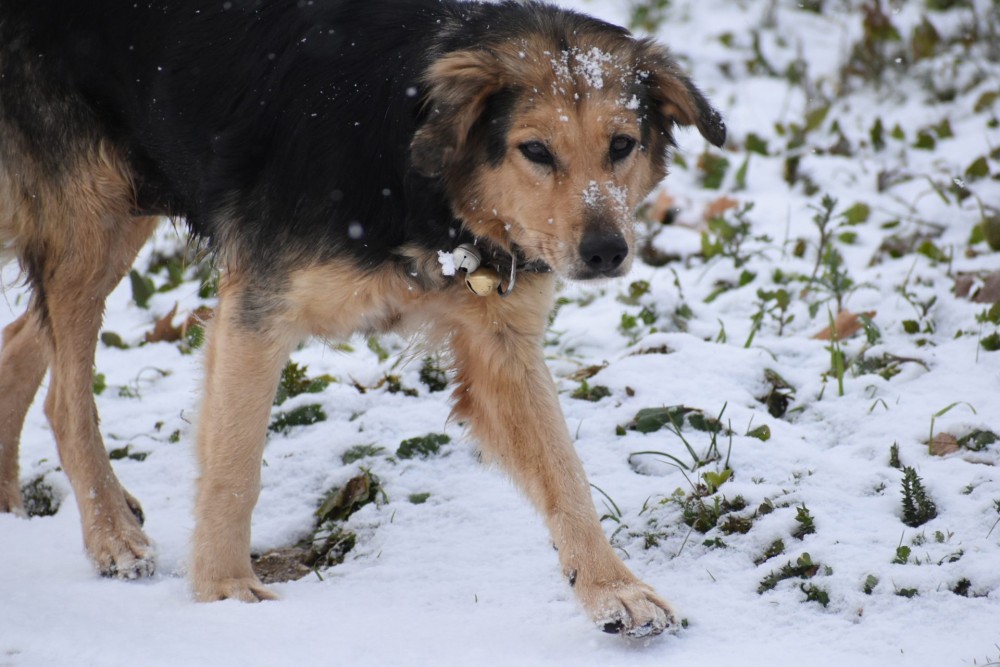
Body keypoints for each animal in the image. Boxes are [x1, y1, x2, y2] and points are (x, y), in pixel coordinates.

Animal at [0, 0, 724, 636]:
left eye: (622, 145)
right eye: (536, 150)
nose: (606, 251)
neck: (420, 176)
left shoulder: (501, 345)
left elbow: (567, 475)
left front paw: (614, 589)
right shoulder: (257, 311)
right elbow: (235, 466)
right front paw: (225, 592)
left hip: (121, 209)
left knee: (22, 337)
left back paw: (10, 497)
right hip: (92, 216)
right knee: (66, 395)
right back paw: (111, 534)